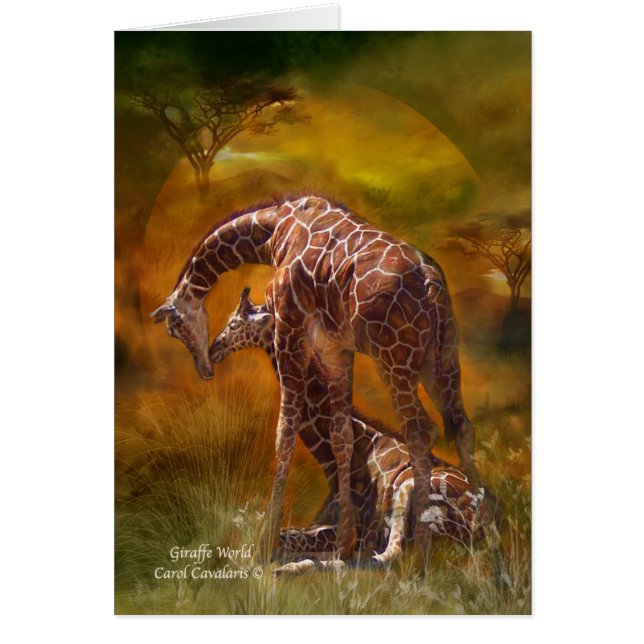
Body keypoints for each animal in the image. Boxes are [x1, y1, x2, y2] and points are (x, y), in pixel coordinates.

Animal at [152, 195, 477, 561]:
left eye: (174, 327)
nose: (207, 365)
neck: (272, 232)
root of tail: (431, 283)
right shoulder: (336, 347)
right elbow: (340, 434)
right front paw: (344, 541)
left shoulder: (289, 327)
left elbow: (285, 431)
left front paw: (266, 540)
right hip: (441, 358)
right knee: (461, 427)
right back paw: (489, 540)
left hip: (394, 358)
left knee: (422, 431)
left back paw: (420, 556)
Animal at [210, 289, 503, 579]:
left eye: (234, 324)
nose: (214, 349)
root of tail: (486, 518)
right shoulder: (323, 521)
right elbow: (276, 533)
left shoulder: (361, 529)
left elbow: (285, 539)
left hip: (408, 489)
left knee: (390, 558)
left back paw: (293, 568)